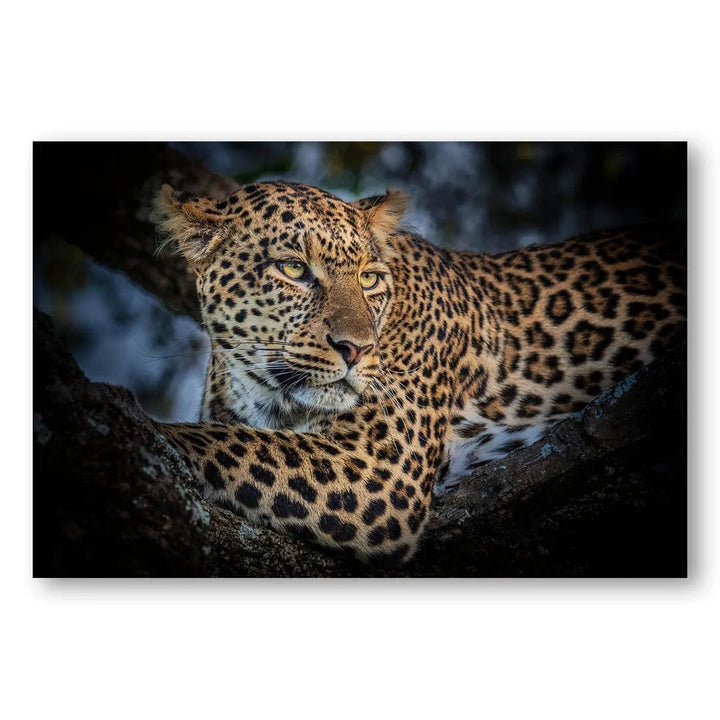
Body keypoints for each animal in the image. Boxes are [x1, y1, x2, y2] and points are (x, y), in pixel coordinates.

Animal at [151, 180, 686, 564]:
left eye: (369, 278)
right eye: (293, 269)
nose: (357, 349)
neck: (264, 391)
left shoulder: (378, 468)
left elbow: (214, 440)